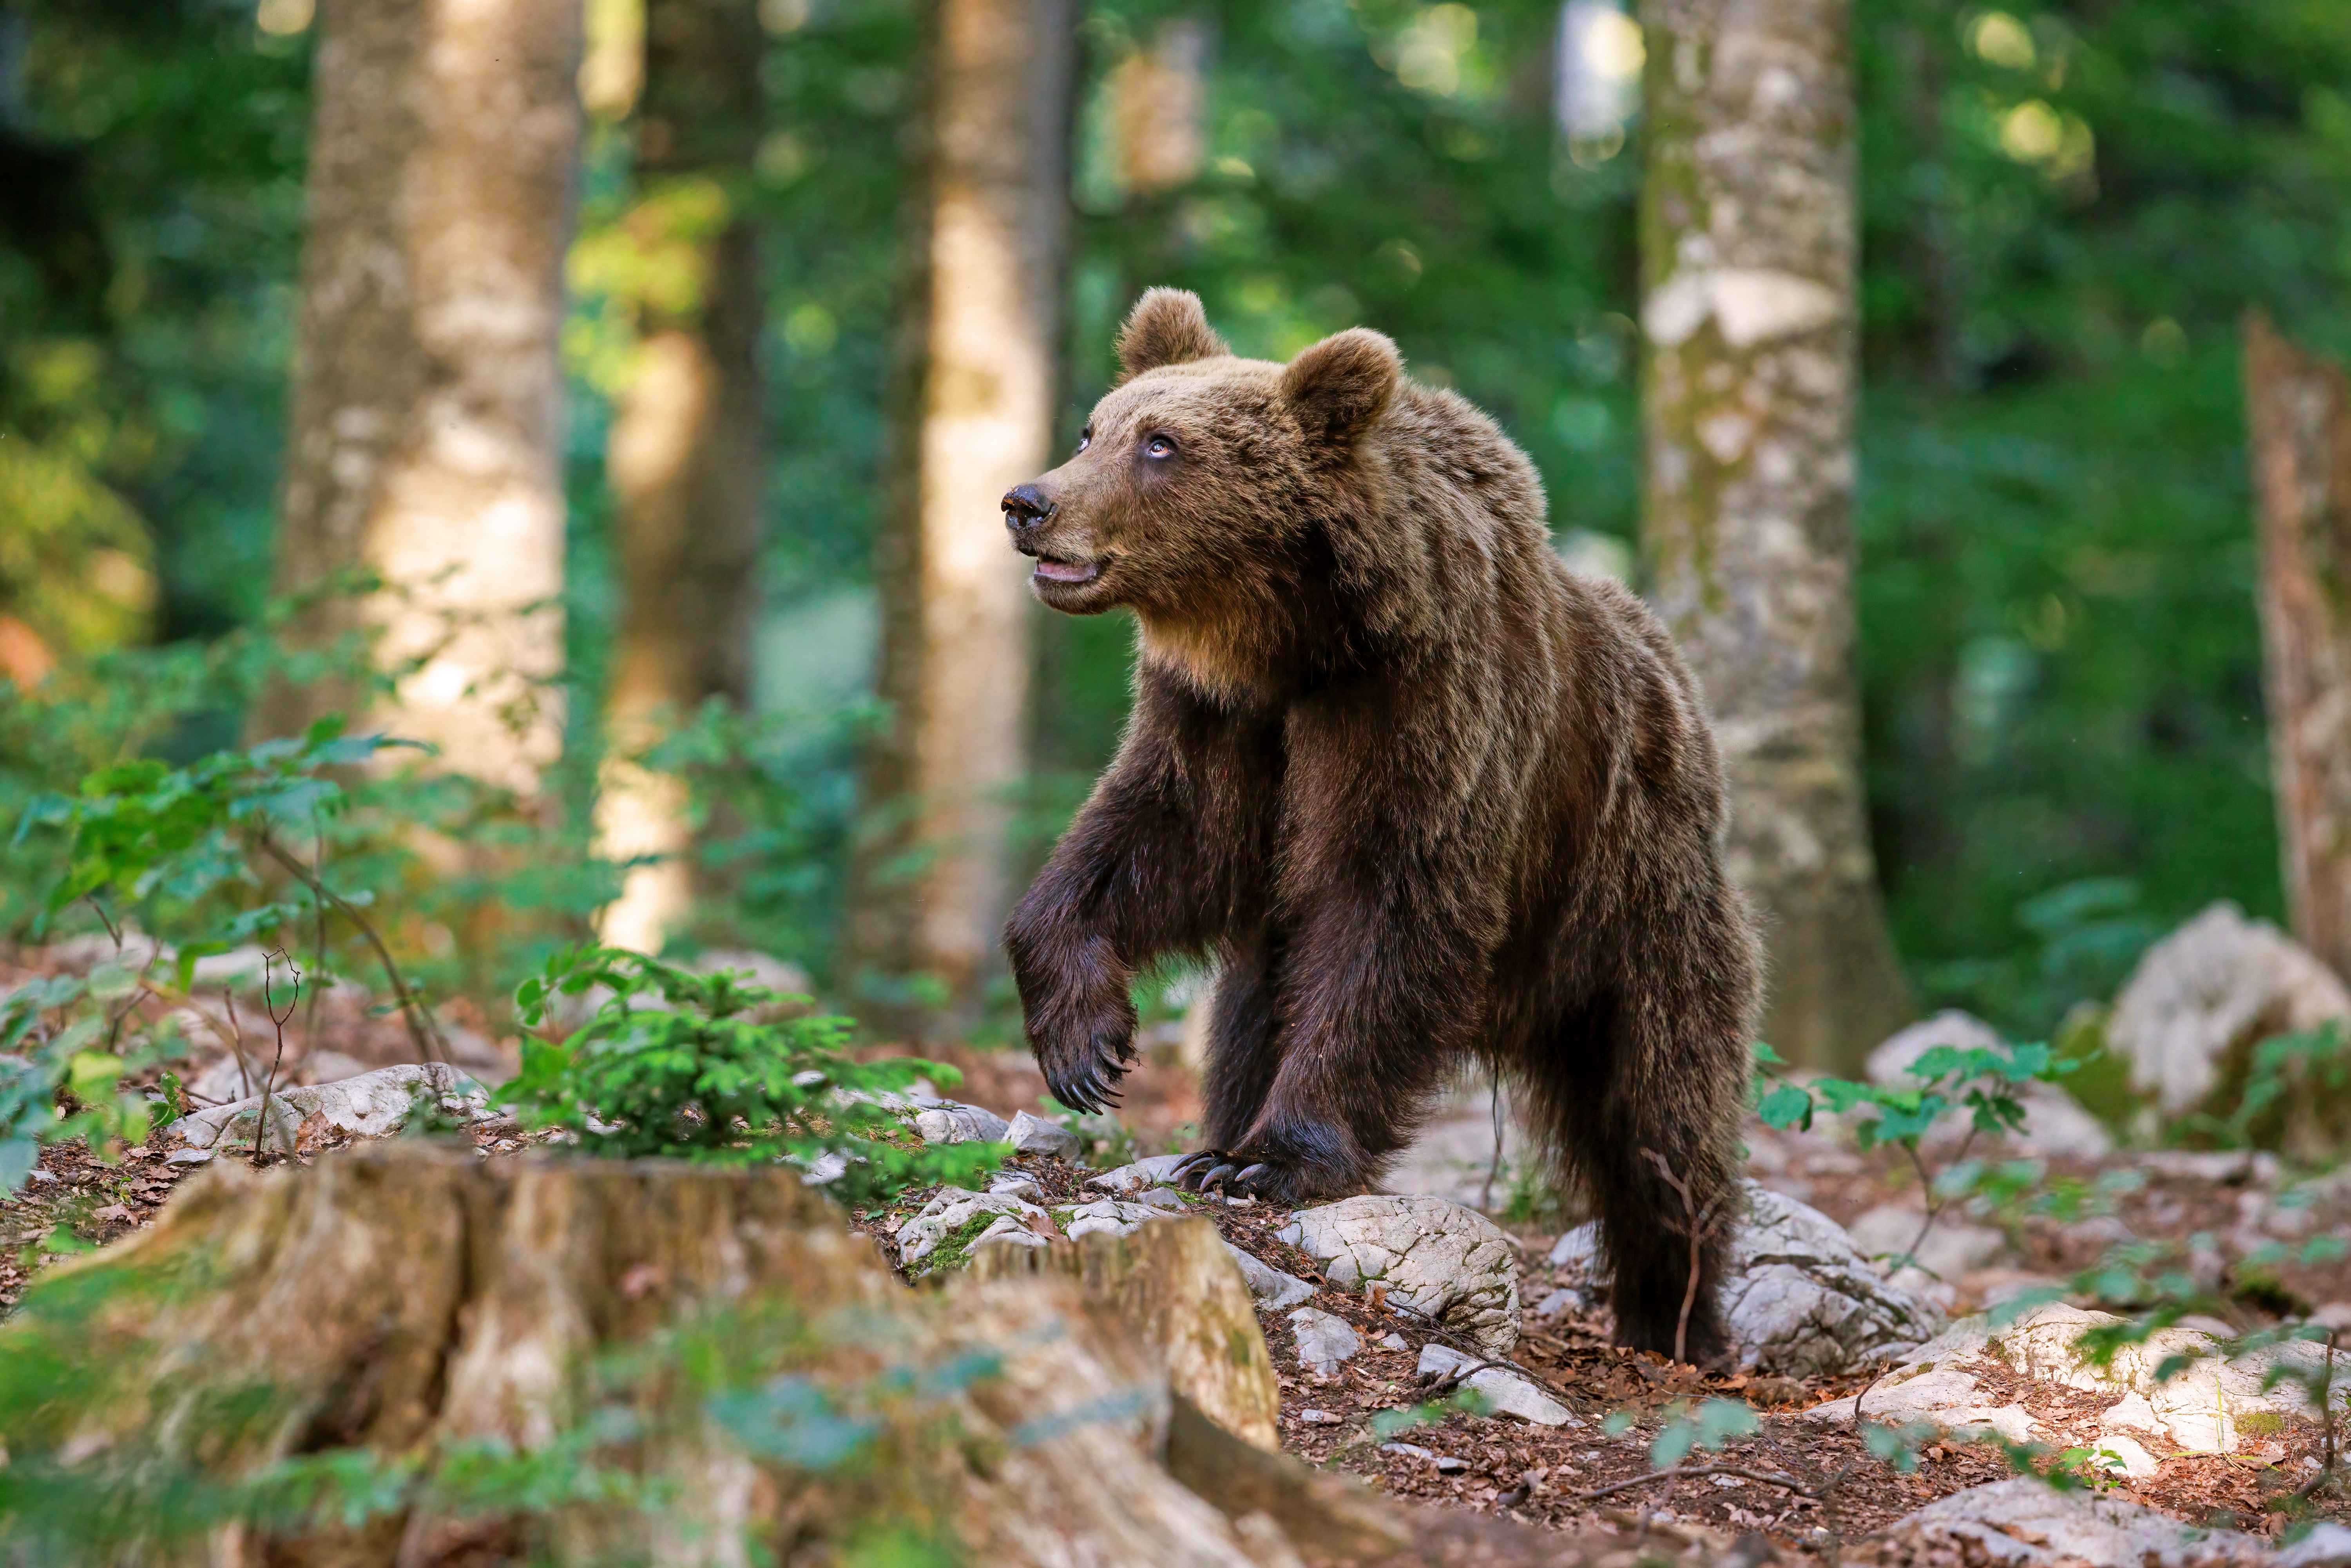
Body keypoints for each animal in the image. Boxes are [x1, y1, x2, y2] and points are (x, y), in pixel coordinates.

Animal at [1002, 292, 1759, 1363]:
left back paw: (1679, 1313)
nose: (1028, 503)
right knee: (1252, 1013)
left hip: (1637, 895)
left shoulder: (1420, 707)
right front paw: (1088, 1048)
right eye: (1092, 429)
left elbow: (1390, 912)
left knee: (1662, 1110)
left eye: (1161, 443)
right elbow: (1160, 841)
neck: (1296, 640)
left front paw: (1274, 1160)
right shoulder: (1224, 719)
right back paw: (1214, 1131)